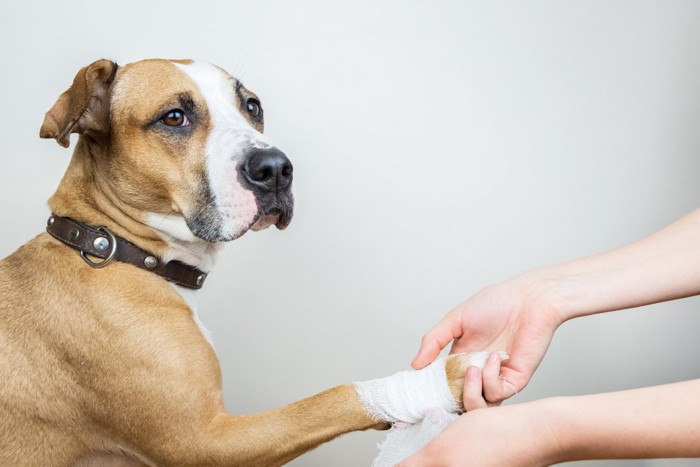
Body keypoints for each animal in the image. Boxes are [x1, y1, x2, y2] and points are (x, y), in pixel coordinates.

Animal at [0, 60, 490, 466]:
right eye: (173, 117)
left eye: (252, 106)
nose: (275, 168)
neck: (113, 246)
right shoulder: (204, 442)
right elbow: (329, 399)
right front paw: (441, 379)